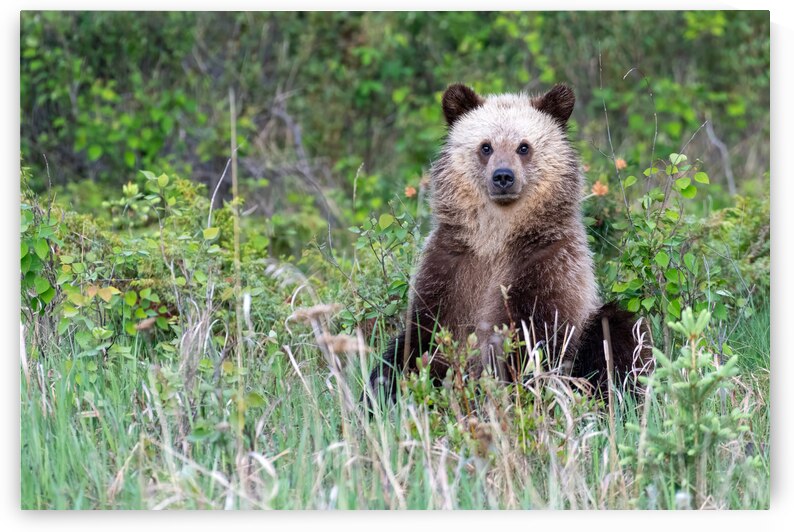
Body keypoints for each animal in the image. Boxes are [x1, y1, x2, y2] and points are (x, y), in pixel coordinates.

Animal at [366, 83, 650, 404]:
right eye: (486, 146)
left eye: (523, 146)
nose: (503, 176)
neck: (496, 237)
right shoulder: (450, 267)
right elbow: (420, 338)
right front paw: (386, 390)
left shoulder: (547, 266)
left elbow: (529, 339)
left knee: (618, 335)